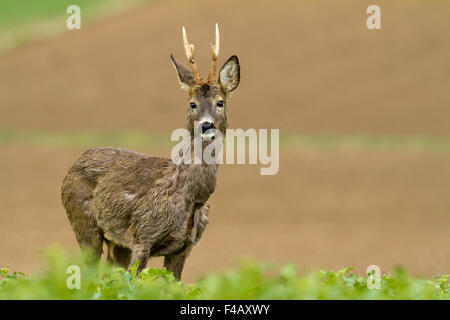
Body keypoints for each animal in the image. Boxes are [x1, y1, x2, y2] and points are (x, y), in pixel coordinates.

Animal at [62, 24, 243, 280]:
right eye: (192, 104)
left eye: (220, 102)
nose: (206, 125)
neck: (190, 197)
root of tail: (76, 161)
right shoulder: (143, 234)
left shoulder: (184, 248)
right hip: (84, 223)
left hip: (117, 243)